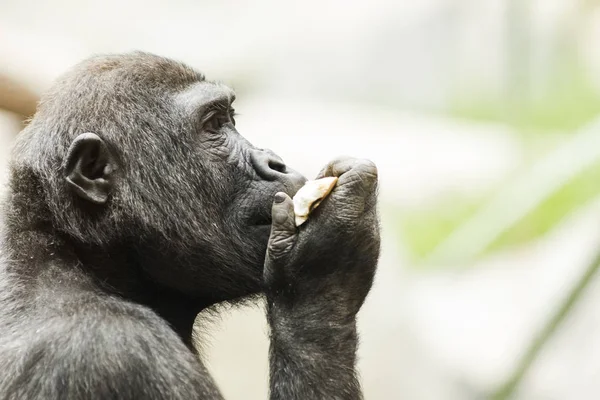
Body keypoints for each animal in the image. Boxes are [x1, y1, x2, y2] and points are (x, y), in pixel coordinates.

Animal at [0, 53, 380, 400]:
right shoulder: (116, 348)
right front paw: (321, 268)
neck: (74, 250)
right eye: (213, 125)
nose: (275, 162)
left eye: (230, 119)